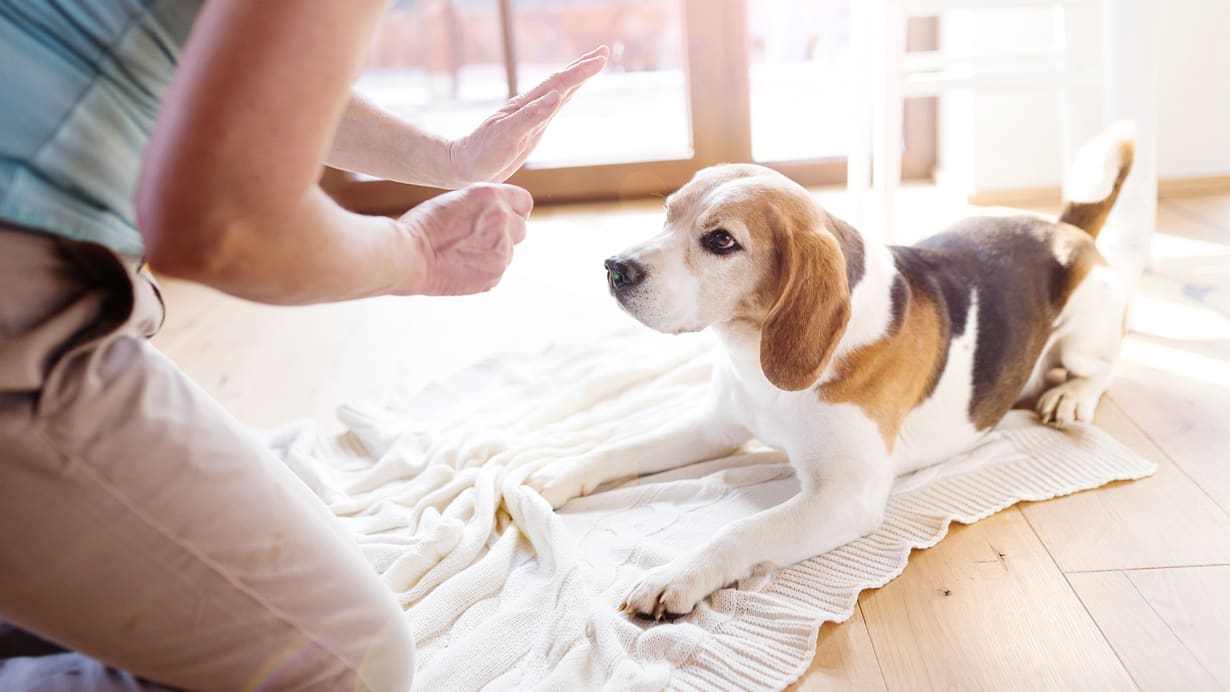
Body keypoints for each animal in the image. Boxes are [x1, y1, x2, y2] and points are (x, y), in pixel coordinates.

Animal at [528, 125, 1131, 621]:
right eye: (667, 214)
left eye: (722, 240)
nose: (614, 268)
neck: (756, 361)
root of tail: (1063, 230)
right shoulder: (716, 426)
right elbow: (619, 448)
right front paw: (556, 474)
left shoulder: (847, 494)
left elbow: (741, 529)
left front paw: (677, 574)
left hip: (1086, 332)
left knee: (1100, 369)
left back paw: (1072, 397)